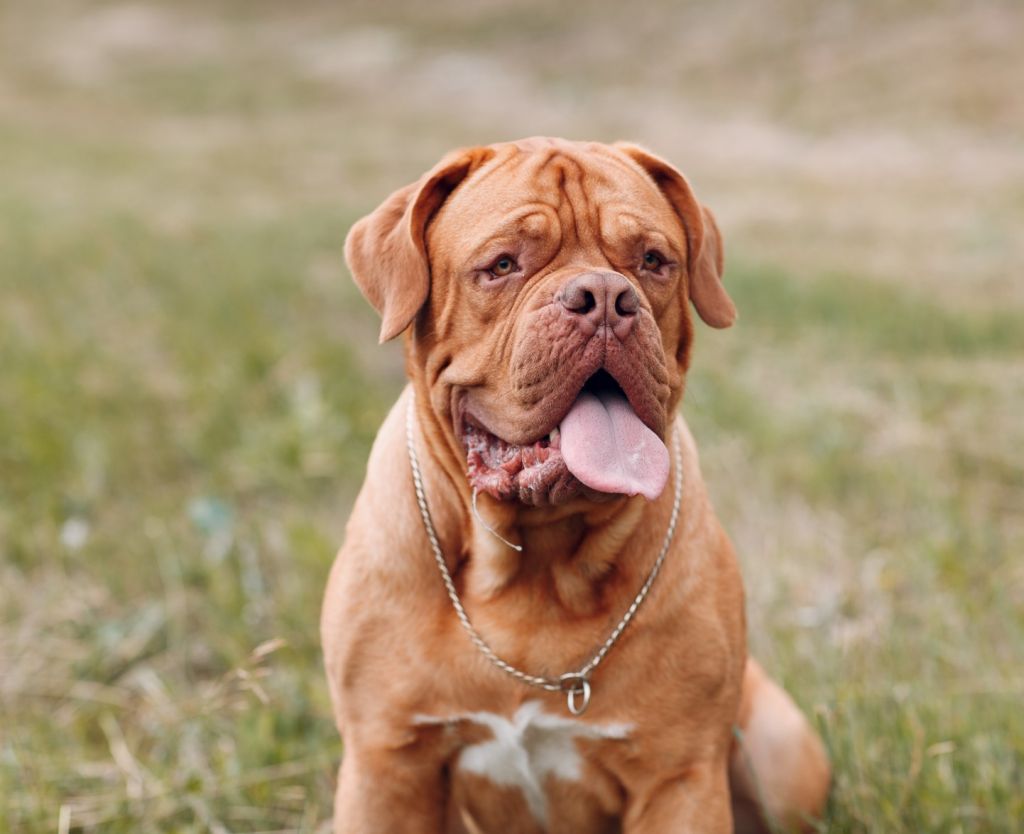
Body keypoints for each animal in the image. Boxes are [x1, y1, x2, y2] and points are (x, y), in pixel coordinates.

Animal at [321, 138, 831, 834]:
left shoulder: (679, 777)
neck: (536, 567)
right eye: (502, 265)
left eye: (652, 261)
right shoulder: (386, 765)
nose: (606, 296)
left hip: (782, 760)